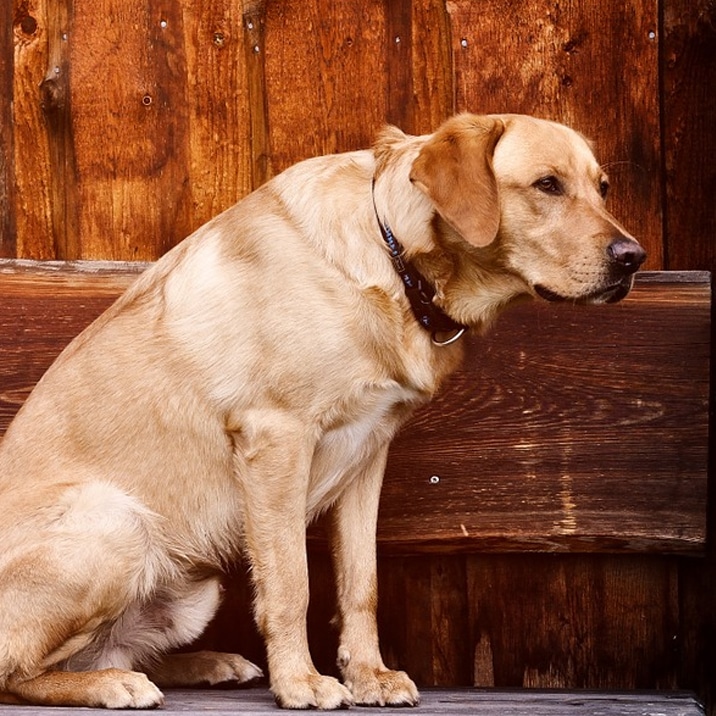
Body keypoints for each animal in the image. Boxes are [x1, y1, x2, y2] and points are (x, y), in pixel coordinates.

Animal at [0, 114, 648, 708]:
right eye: (547, 185)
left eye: (602, 187)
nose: (634, 257)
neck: (394, 258)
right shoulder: (277, 438)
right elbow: (292, 585)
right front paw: (301, 683)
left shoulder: (368, 456)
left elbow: (361, 585)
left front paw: (368, 676)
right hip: (117, 522)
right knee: (21, 671)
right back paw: (113, 684)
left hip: (190, 584)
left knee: (106, 650)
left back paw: (205, 664)